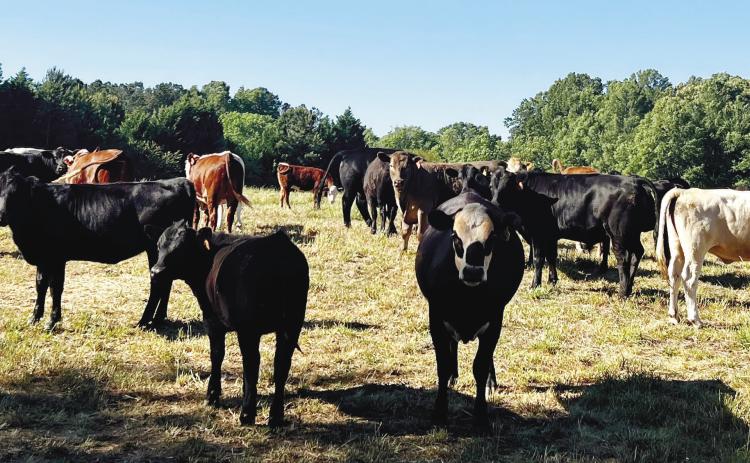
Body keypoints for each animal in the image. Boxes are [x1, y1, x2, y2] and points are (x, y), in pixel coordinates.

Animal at [0, 169, 196, 330]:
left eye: (15, 194)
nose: (1, 215)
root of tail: (179, 181)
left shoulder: (56, 257)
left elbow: (55, 288)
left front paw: (52, 321)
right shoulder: (43, 257)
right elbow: (40, 285)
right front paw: (34, 318)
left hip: (156, 250)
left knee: (158, 284)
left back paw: (144, 321)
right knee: (166, 282)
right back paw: (158, 319)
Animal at [148, 222, 308, 427]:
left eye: (181, 248)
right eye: (159, 246)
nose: (155, 271)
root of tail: (277, 247)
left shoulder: (212, 320)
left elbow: (217, 355)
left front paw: (212, 395)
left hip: (249, 329)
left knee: (252, 363)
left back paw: (247, 414)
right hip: (292, 325)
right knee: (281, 364)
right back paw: (275, 416)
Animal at [415, 191, 524, 428]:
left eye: (490, 239)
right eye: (456, 238)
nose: (472, 272)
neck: (468, 300)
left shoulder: (495, 321)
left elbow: (480, 366)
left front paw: (481, 417)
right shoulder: (436, 319)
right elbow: (443, 365)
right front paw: (439, 413)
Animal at [490, 170, 658, 297]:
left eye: (508, 187)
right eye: (491, 186)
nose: (494, 204)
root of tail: (634, 181)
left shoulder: (538, 234)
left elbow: (539, 259)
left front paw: (535, 285)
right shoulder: (550, 236)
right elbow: (551, 257)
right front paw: (552, 280)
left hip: (618, 234)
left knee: (623, 259)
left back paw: (622, 292)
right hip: (632, 234)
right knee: (637, 253)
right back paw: (629, 288)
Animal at [656, 188, 750, 327]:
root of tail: (684, 191)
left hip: (677, 247)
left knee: (674, 276)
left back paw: (674, 316)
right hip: (696, 248)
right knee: (689, 279)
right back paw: (695, 319)